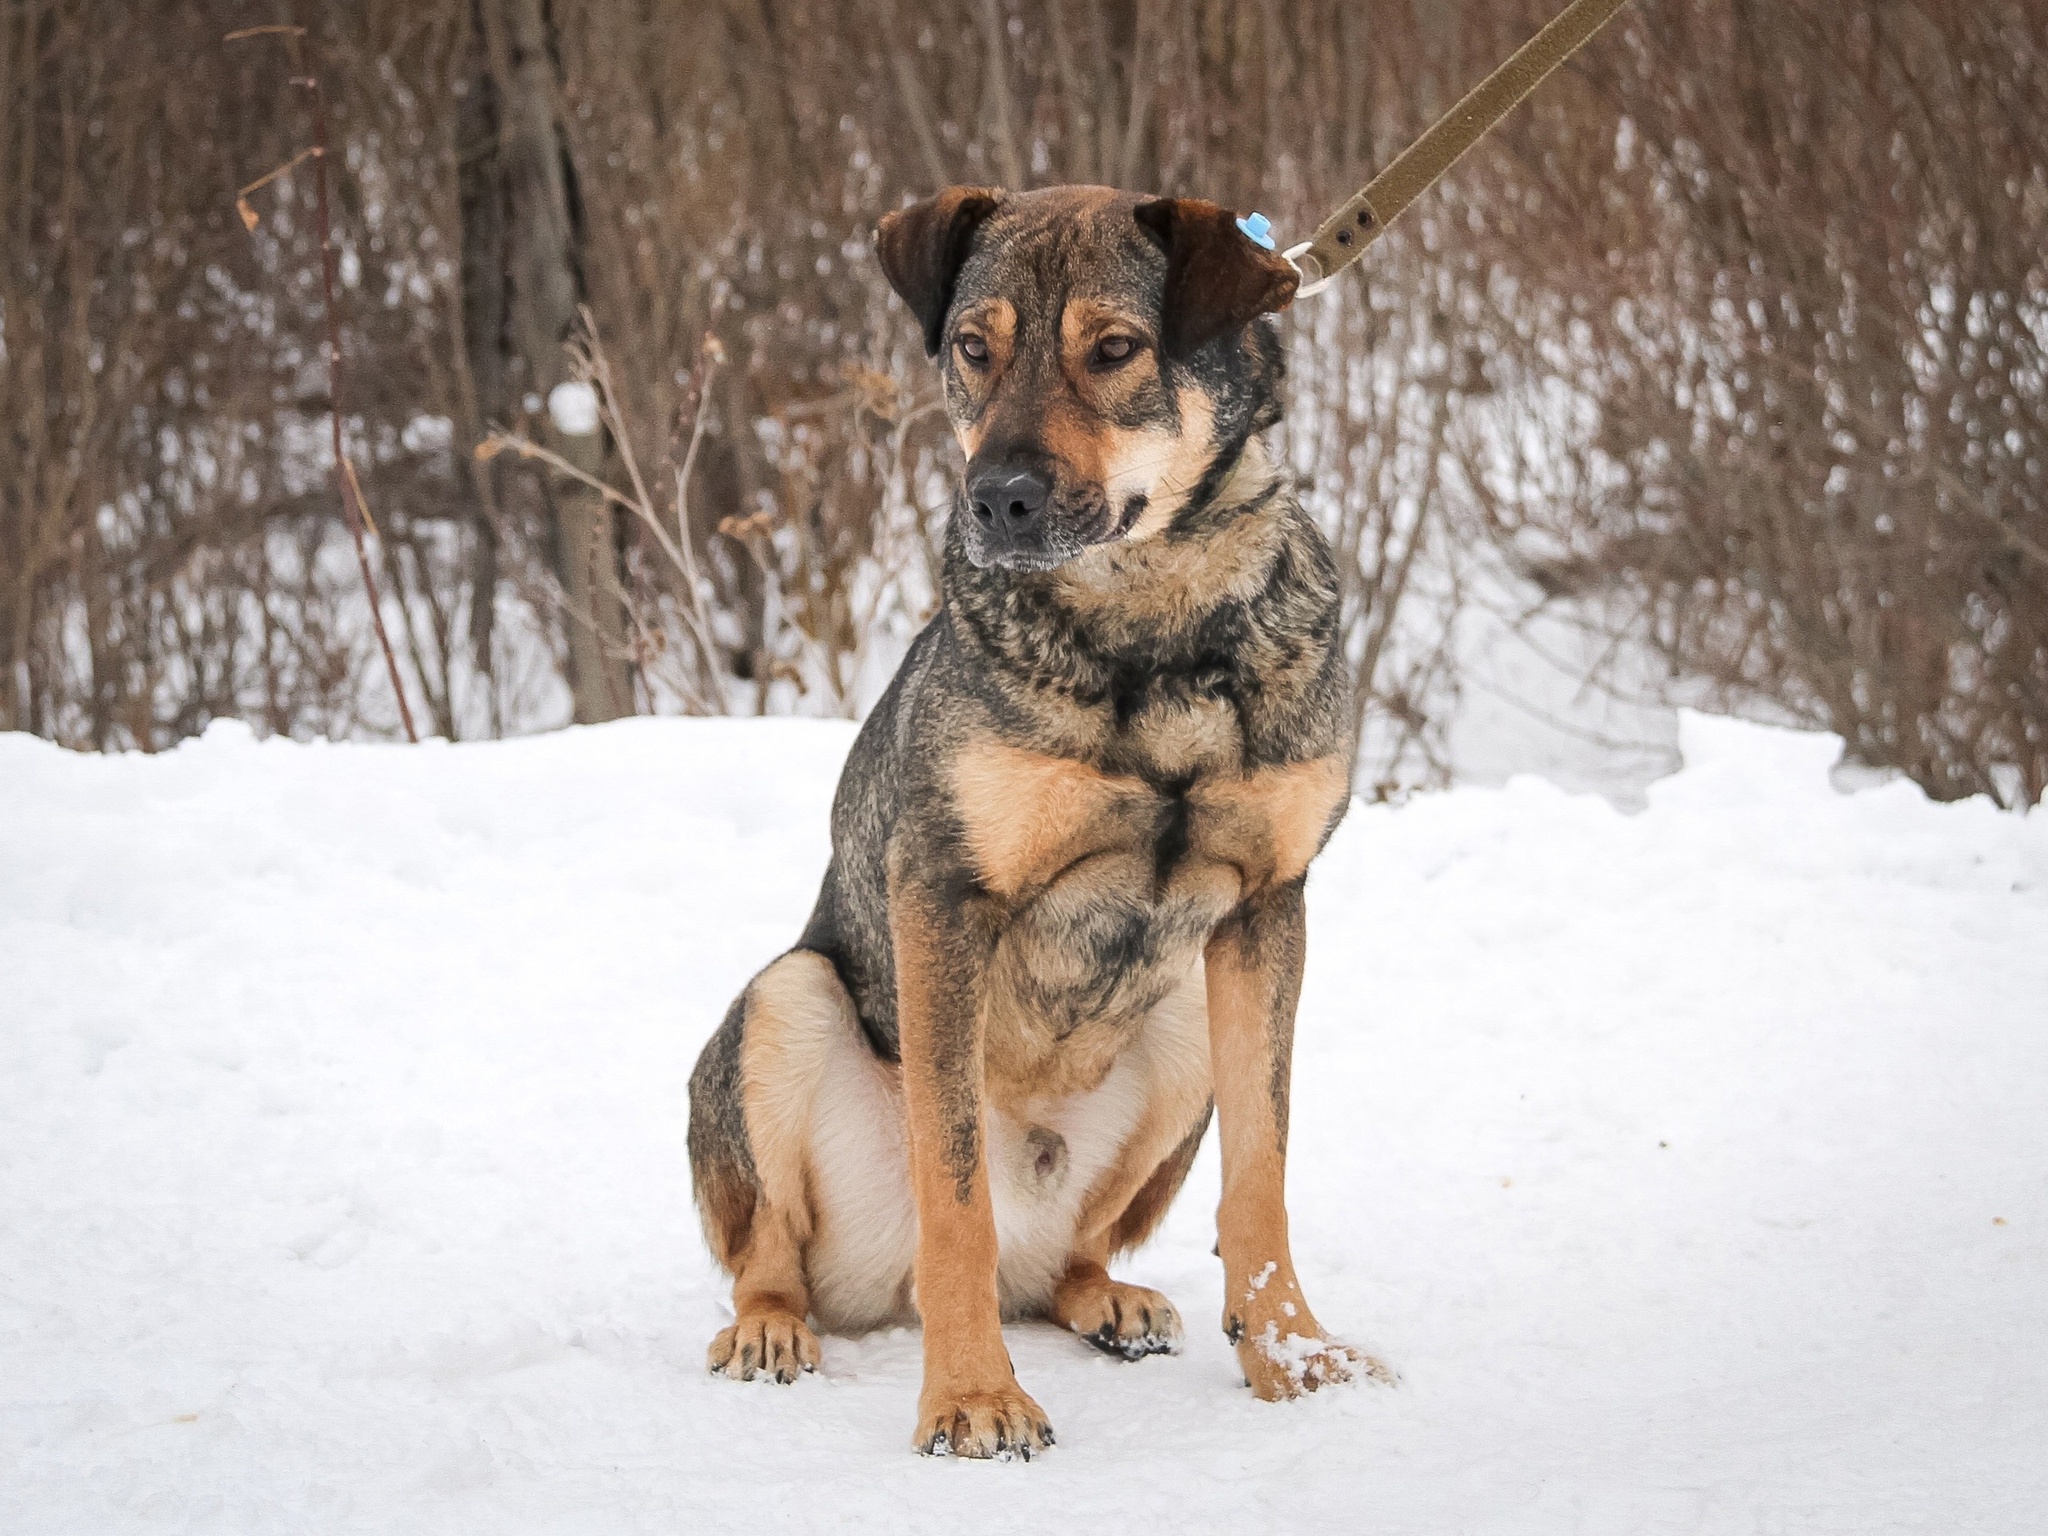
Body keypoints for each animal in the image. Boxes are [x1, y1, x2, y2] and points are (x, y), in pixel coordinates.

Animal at [688, 186, 1392, 1458]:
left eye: (1112, 350)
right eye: (974, 349)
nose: (997, 499)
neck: (1154, 624)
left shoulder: (1266, 911)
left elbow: (1261, 1176)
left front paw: (1290, 1358)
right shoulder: (942, 897)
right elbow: (954, 1188)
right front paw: (971, 1395)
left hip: (1179, 1027)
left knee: (1073, 1254)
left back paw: (1104, 1297)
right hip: (787, 1000)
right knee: (778, 1251)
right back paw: (772, 1329)